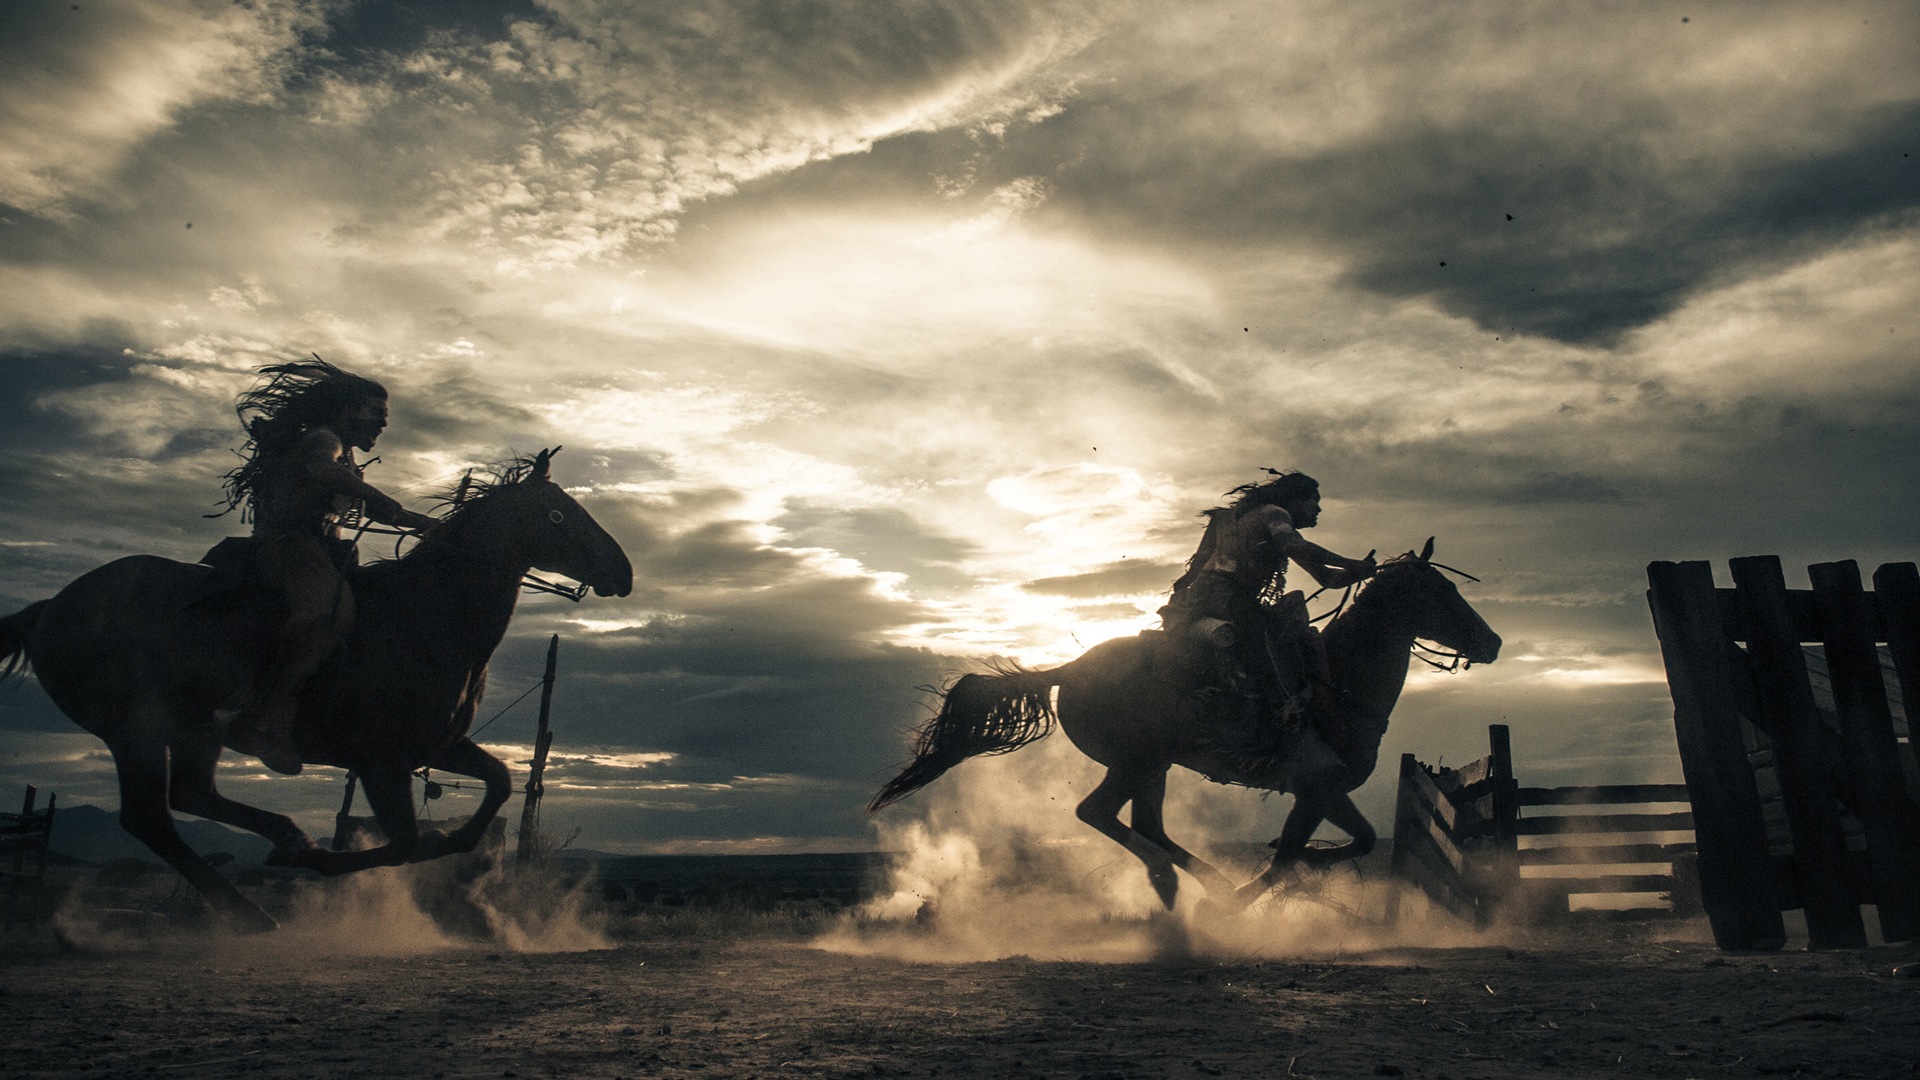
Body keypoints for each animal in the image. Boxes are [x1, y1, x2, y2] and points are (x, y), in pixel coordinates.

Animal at [0, 445, 633, 926]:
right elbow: (406, 843)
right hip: (136, 732)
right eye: (559, 514)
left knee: (186, 800)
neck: (422, 615)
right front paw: (330, 863)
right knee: (151, 818)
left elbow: (498, 783)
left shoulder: (438, 745)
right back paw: (262, 896)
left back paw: (274, 863)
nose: (623, 571)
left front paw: (462, 856)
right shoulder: (380, 759)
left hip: (191, 731)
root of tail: (47, 609)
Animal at [871, 538, 1497, 907]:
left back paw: (1184, 884)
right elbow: (1292, 855)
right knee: (1101, 814)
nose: (1492, 642)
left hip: (1154, 765)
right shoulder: (1314, 789)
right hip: (1138, 760)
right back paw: (1187, 885)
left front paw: (1299, 871)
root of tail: (1071, 668)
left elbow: (1358, 840)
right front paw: (1254, 894)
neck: (1337, 683)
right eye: (1442, 592)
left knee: (1142, 823)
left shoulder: (1325, 790)